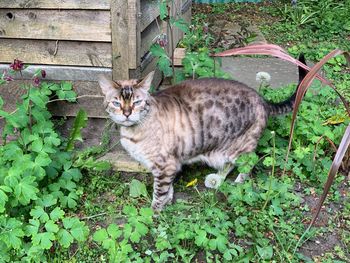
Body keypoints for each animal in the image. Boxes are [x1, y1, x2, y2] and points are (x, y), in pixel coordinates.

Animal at [98, 54, 306, 211]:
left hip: (240, 148)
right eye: (116, 103)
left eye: (137, 102)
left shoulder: (165, 166)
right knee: (228, 165)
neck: (133, 132)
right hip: (221, 150)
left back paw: (237, 183)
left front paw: (154, 215)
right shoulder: (170, 166)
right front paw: (168, 204)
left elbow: (158, 194)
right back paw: (217, 180)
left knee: (249, 164)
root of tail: (262, 99)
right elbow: (168, 190)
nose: (126, 113)